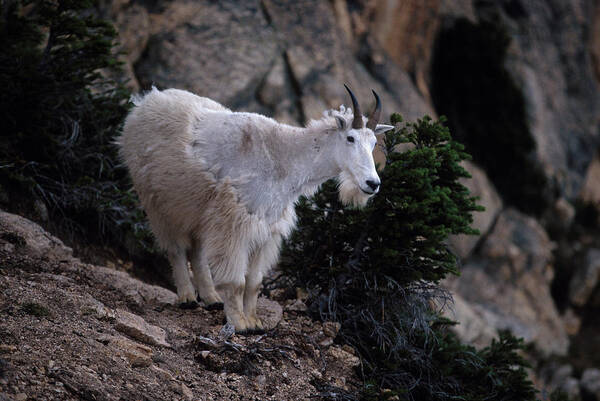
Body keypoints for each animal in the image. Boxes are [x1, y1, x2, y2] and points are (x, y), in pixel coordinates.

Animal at [119, 84, 392, 332]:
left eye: (374, 142)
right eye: (350, 138)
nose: (372, 184)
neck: (287, 161)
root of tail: (145, 101)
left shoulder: (267, 230)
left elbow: (254, 283)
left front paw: (256, 322)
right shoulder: (235, 223)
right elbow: (237, 281)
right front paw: (240, 324)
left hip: (197, 209)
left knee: (196, 251)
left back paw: (211, 298)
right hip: (158, 201)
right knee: (175, 248)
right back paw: (187, 297)